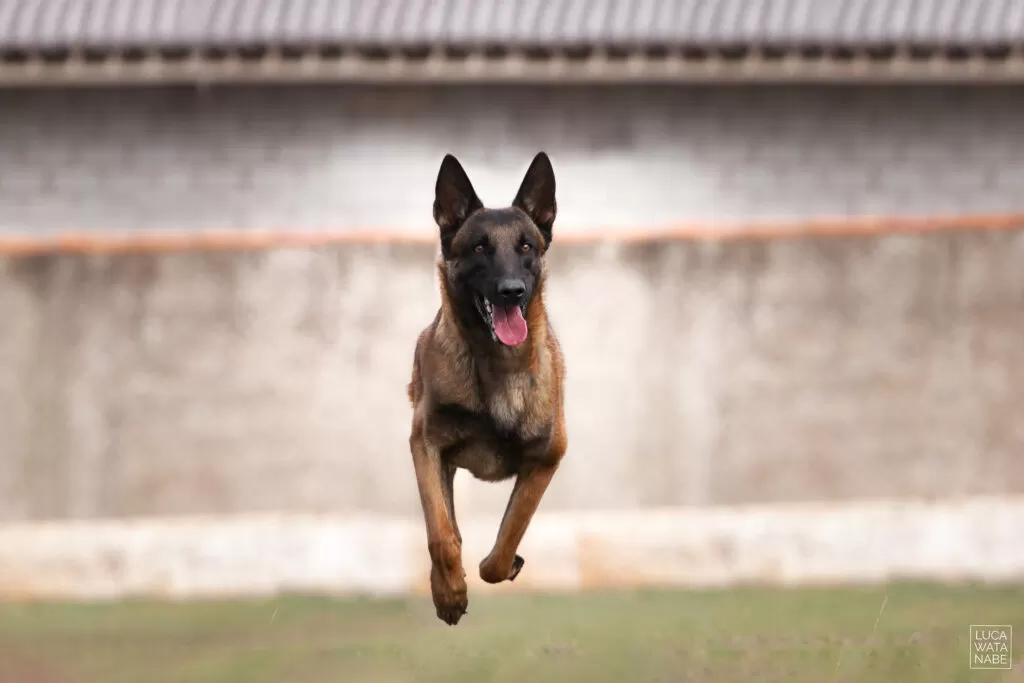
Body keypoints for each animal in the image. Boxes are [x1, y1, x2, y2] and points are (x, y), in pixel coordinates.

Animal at [407, 150, 569, 626]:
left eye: (526, 247)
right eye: (479, 248)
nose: (511, 291)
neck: (495, 365)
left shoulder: (546, 459)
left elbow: (507, 538)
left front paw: (497, 565)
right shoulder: (425, 443)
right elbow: (441, 535)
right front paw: (450, 593)